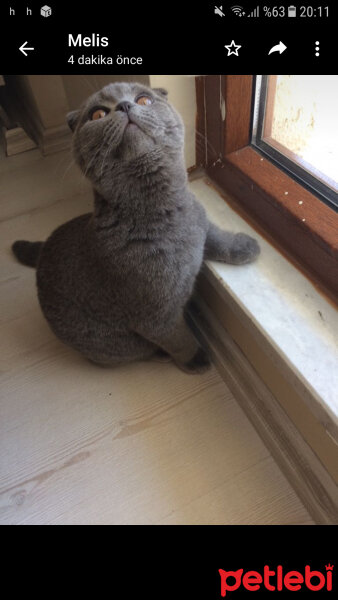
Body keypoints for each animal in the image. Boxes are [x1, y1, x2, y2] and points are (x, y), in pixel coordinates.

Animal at [10, 82, 258, 372]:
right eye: (97, 114)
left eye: (143, 100)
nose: (124, 105)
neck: (165, 213)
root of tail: (44, 252)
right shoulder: (156, 316)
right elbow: (179, 338)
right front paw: (197, 359)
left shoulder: (199, 220)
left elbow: (216, 236)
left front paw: (244, 246)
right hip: (112, 347)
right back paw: (160, 355)